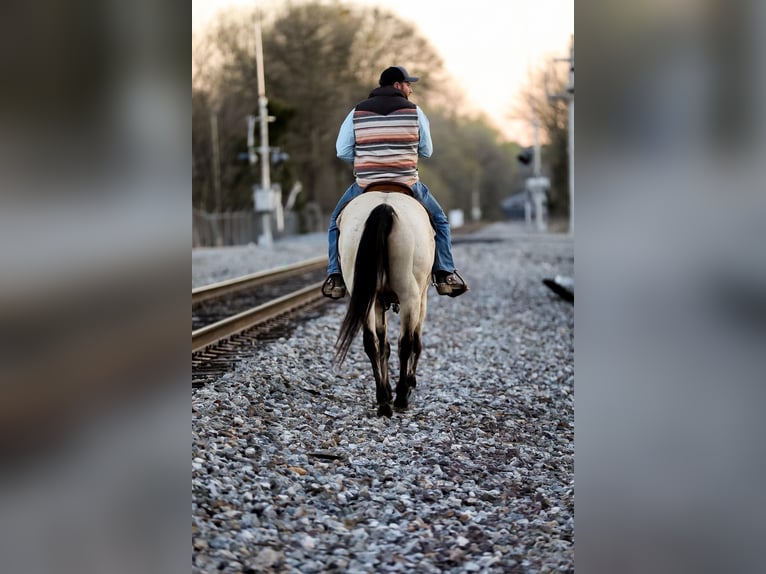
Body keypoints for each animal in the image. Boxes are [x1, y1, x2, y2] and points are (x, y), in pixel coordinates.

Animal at [332, 189, 436, 418]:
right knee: (406, 343)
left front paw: (387, 390)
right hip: (409, 295)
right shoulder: (421, 298)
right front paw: (409, 382)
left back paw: (383, 402)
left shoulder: (378, 302)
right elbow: (415, 341)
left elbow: (383, 345)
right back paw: (401, 398)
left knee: (371, 343)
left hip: (366, 296)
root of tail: (384, 207)